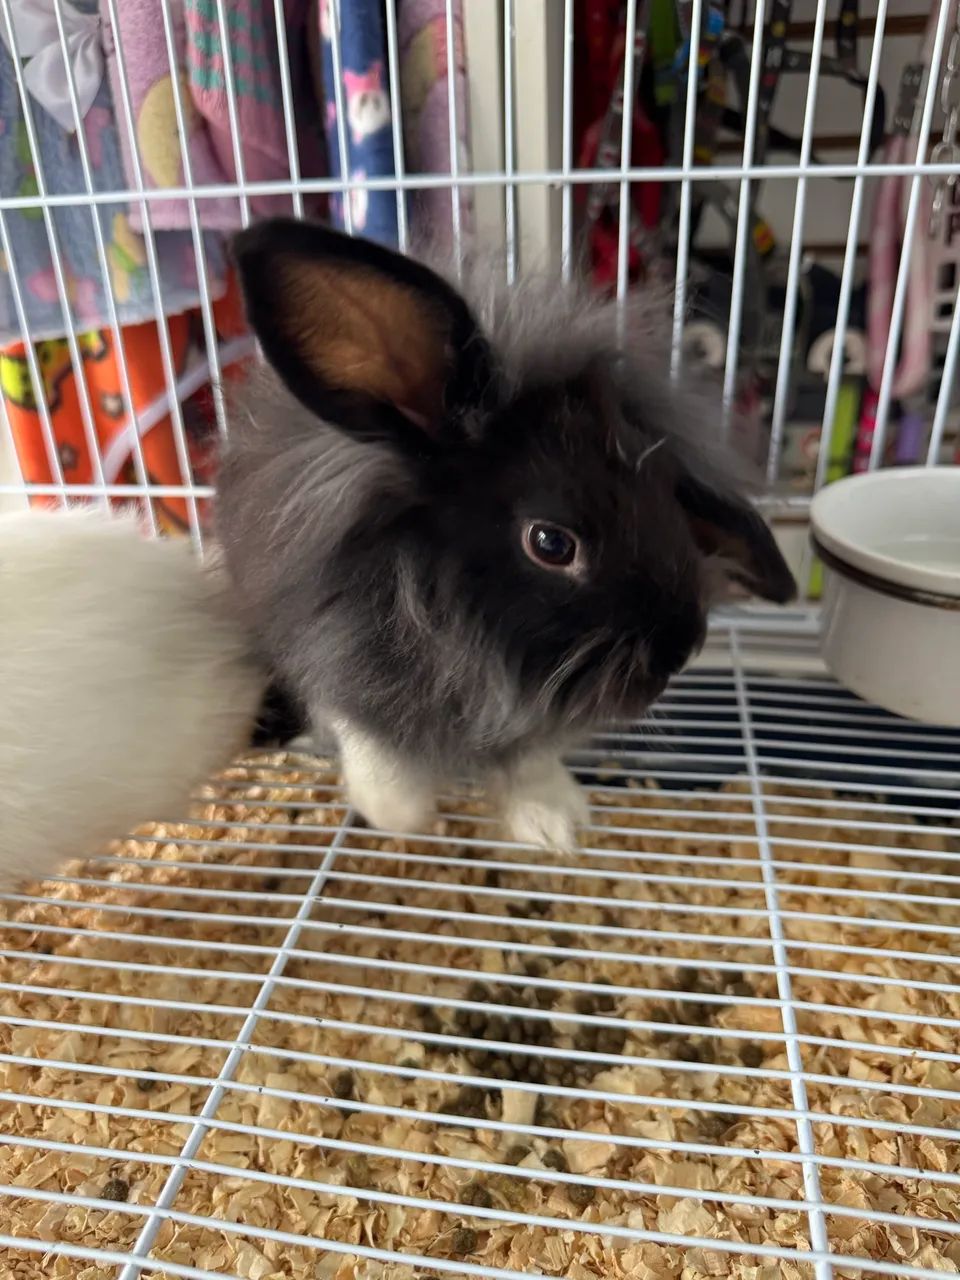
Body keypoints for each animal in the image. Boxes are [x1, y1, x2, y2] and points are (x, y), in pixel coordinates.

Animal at [216, 219, 796, 852]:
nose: (682, 647)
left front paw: (558, 825)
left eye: (668, 498)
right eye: (551, 544)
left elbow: (530, 763)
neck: (466, 627)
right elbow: (378, 758)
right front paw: (405, 818)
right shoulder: (335, 655)